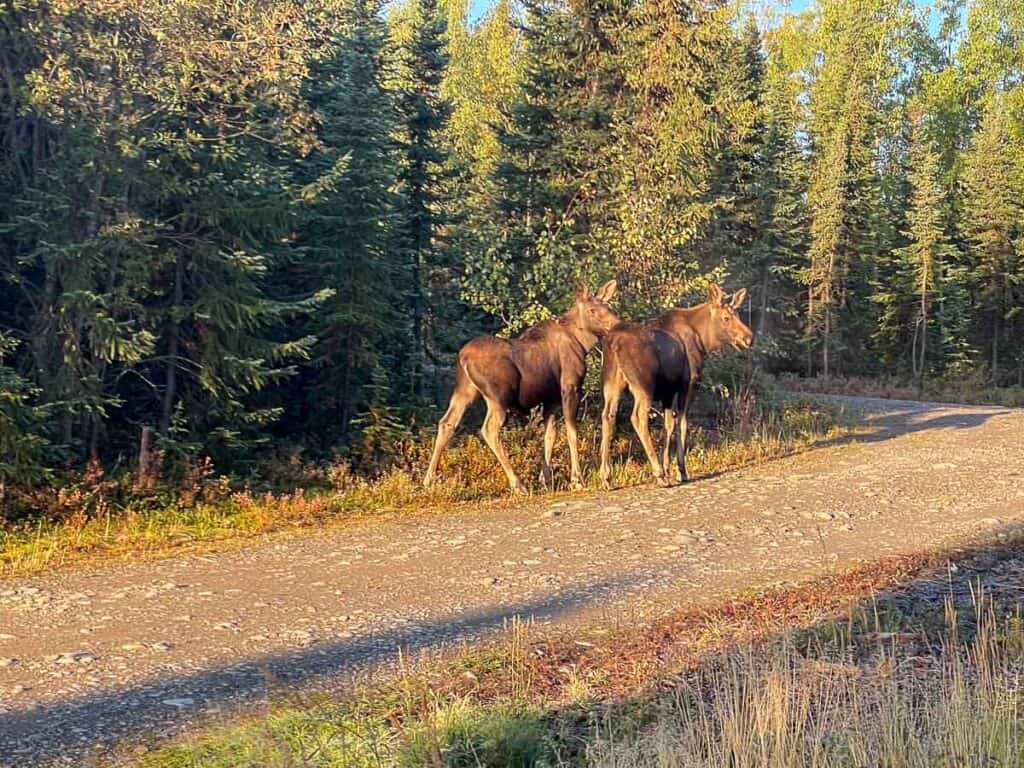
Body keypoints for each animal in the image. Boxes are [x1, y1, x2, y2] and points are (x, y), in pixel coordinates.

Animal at [424, 280, 620, 494]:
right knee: (489, 430)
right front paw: (577, 480)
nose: (615, 324)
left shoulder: (551, 398)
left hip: (464, 391)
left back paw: (429, 480)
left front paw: (546, 480)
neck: (582, 343)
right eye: (592, 310)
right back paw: (518, 484)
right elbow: (571, 431)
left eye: (607, 307)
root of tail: (463, 358)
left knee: (447, 423)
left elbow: (550, 435)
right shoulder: (570, 387)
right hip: (498, 398)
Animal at [599, 284, 753, 489]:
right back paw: (658, 475)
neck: (704, 340)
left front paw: (668, 468)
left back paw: (606, 477)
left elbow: (668, 425)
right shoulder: (688, 384)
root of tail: (613, 343)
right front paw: (681, 471)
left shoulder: (668, 391)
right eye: (726, 318)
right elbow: (683, 423)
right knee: (638, 418)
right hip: (643, 386)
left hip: (612, 383)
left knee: (608, 415)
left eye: (739, 315)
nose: (749, 338)